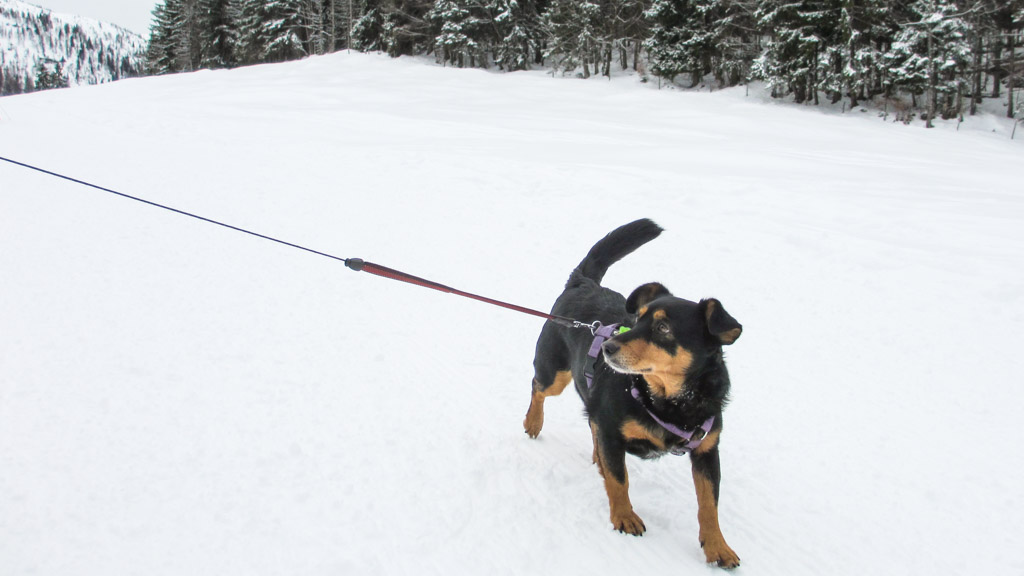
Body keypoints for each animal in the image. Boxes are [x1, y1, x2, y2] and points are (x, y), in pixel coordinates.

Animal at [524, 217, 741, 565]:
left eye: (663, 328)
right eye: (636, 320)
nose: (607, 346)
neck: (668, 400)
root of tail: (583, 283)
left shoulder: (708, 450)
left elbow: (709, 504)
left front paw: (718, 546)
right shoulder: (613, 432)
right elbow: (619, 481)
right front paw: (624, 516)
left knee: (590, 422)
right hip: (554, 373)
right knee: (539, 388)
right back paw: (533, 422)